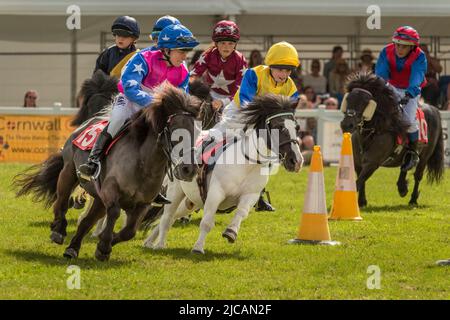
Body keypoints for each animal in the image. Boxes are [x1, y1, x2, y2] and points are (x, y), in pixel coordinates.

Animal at [14, 84, 200, 262]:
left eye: (197, 131)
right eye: (175, 130)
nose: (189, 169)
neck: (143, 164)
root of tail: (86, 123)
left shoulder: (143, 204)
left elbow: (129, 231)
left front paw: (105, 245)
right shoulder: (111, 190)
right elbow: (115, 213)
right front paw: (103, 246)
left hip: (98, 198)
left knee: (86, 221)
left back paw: (72, 248)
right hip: (68, 173)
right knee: (61, 202)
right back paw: (58, 230)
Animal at [342, 72, 442, 208]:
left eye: (365, 103)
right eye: (348, 99)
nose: (346, 125)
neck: (376, 129)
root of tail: (433, 108)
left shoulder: (372, 163)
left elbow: (359, 181)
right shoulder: (357, 163)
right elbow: (360, 180)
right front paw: (361, 201)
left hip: (425, 157)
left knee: (418, 175)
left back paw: (413, 199)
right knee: (404, 166)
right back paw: (402, 187)